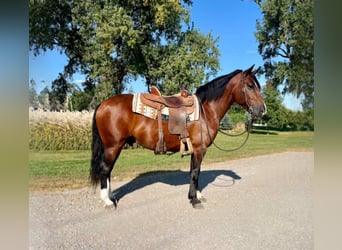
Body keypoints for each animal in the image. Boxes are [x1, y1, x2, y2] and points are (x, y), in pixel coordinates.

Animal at [89, 65, 266, 209]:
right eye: (250, 86)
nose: (263, 110)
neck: (206, 111)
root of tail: (103, 104)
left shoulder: (194, 150)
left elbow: (194, 172)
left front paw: (196, 194)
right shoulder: (199, 149)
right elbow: (195, 173)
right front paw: (195, 200)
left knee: (108, 170)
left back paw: (111, 196)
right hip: (113, 146)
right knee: (105, 169)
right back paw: (107, 201)